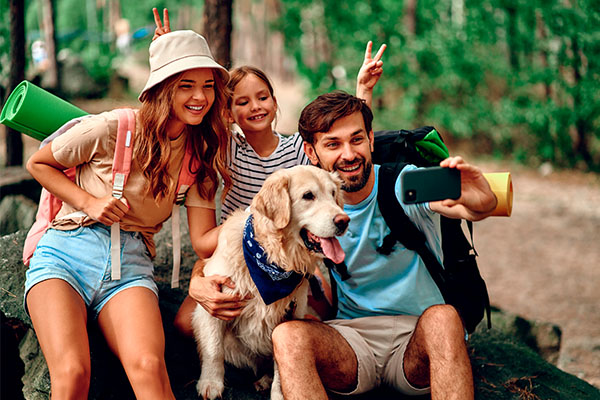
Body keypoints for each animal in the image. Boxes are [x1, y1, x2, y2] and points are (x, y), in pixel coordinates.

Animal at [192, 166, 350, 400]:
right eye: (308, 196)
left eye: (333, 193)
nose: (344, 221)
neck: (272, 259)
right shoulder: (214, 303)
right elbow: (214, 349)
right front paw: (210, 383)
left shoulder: (290, 316)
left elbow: (280, 366)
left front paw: (278, 393)